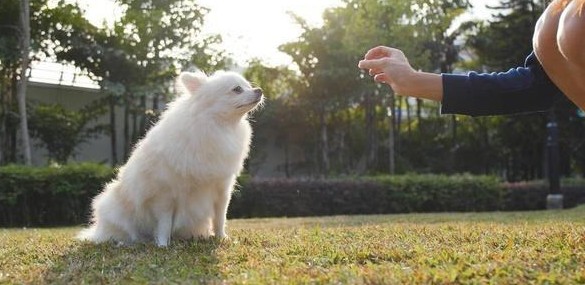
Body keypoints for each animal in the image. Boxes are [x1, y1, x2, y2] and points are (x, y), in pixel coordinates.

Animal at [77, 70, 262, 245]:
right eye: (237, 89)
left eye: (249, 85)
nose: (259, 90)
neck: (219, 127)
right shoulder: (164, 195)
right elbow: (164, 223)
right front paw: (163, 244)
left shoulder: (221, 189)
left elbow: (219, 218)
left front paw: (221, 238)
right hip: (116, 210)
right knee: (123, 232)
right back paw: (126, 242)